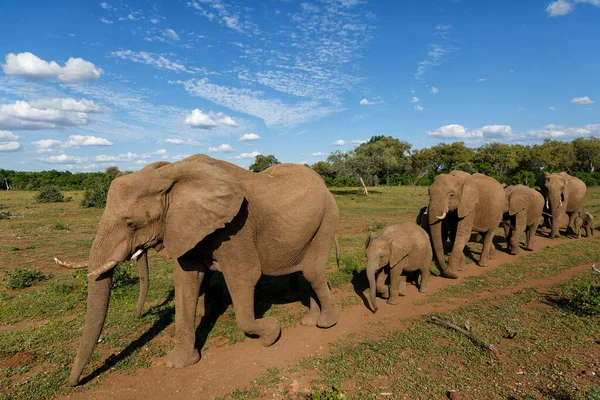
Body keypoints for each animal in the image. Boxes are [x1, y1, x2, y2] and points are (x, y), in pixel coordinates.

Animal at [56, 155, 342, 386]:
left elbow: (244, 277)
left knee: (312, 272)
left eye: (130, 223)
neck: (172, 174)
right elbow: (186, 281)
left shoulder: (236, 226)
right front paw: (179, 363)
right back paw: (310, 321)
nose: (74, 383)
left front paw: (270, 333)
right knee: (308, 272)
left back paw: (326, 324)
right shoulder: (186, 226)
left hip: (327, 219)